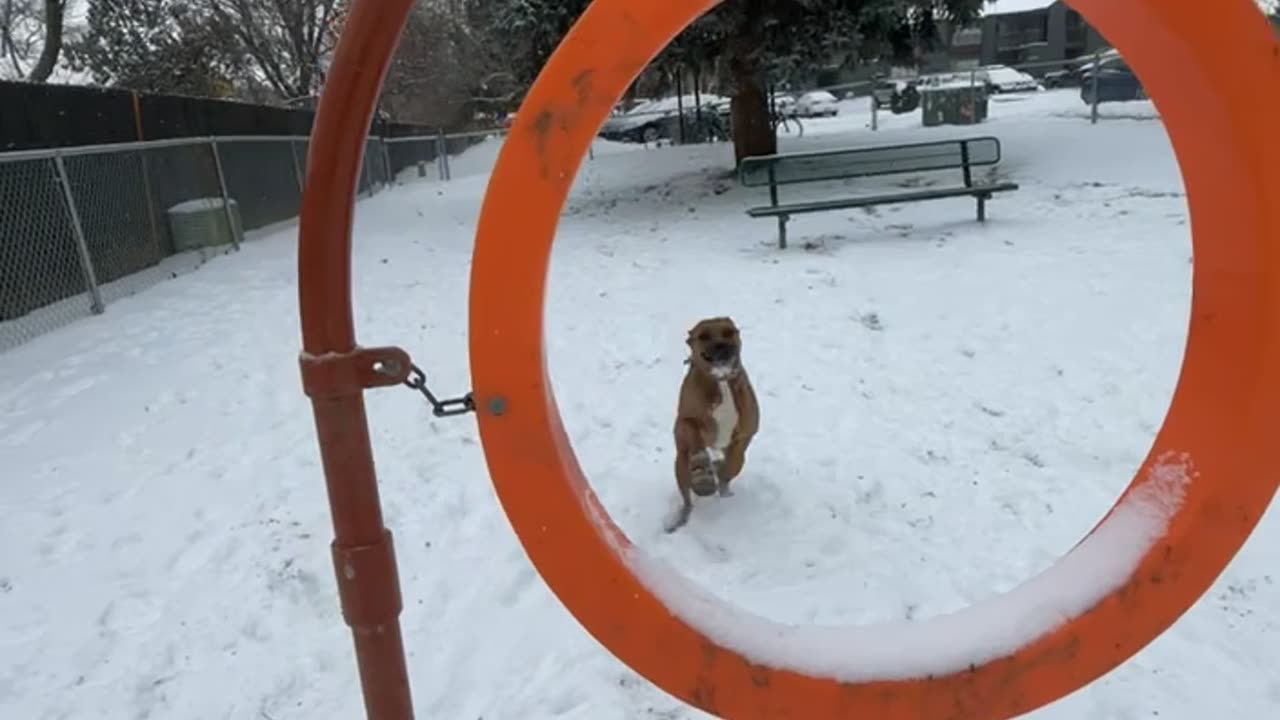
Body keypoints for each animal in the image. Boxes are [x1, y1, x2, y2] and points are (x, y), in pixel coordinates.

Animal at [665, 315, 752, 532]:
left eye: (729, 332)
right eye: (703, 336)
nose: (721, 345)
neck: (720, 380)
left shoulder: (745, 433)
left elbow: (734, 463)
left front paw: (723, 474)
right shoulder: (684, 422)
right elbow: (694, 435)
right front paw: (703, 472)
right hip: (680, 465)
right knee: (687, 499)